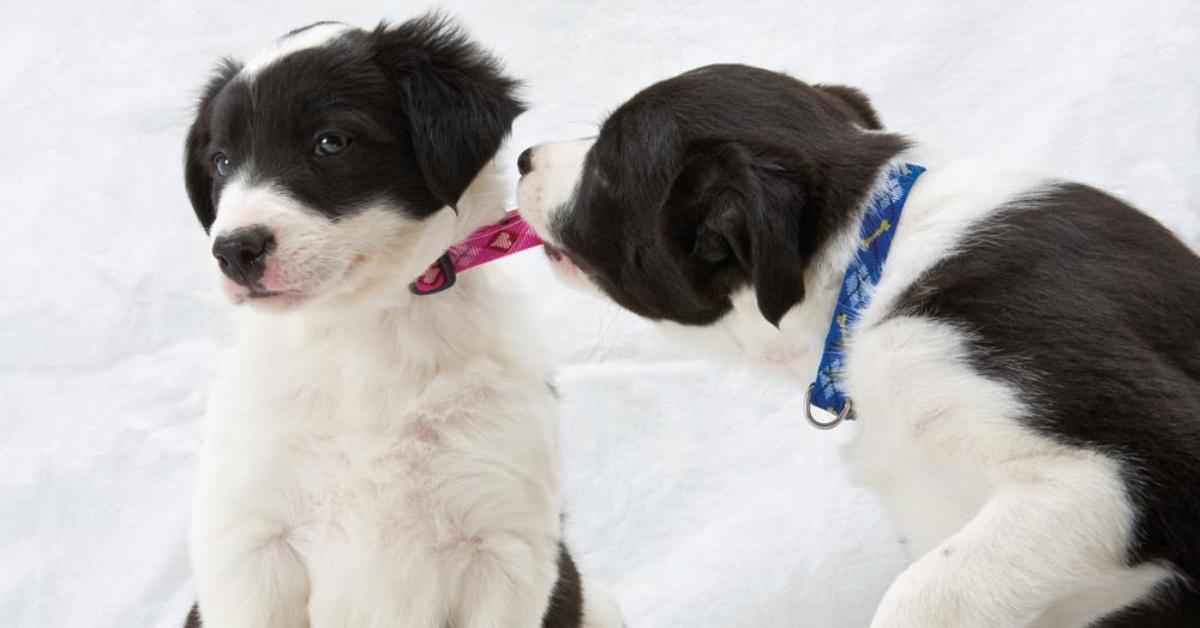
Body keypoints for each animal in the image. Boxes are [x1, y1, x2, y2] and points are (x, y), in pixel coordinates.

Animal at [182, 15, 624, 628]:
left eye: (331, 141)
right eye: (222, 161)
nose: (234, 251)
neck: (369, 330)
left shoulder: (503, 549)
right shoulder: (249, 546)